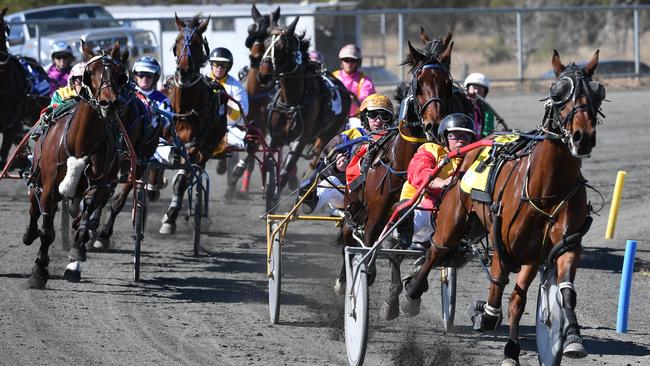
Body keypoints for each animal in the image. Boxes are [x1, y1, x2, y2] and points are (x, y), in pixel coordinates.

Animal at [21, 41, 130, 288]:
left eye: (119, 74)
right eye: (91, 73)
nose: (109, 103)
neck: (80, 142)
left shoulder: (96, 187)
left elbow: (83, 223)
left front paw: (75, 259)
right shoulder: (49, 188)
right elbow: (47, 230)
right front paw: (39, 271)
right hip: (37, 175)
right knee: (33, 205)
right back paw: (29, 233)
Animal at [158, 14, 227, 234]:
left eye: (197, 43)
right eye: (177, 41)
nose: (184, 71)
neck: (185, 111)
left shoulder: (195, 148)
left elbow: (182, 180)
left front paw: (170, 218)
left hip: (208, 148)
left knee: (191, 173)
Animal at [258, 17, 350, 194]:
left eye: (281, 47)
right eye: (264, 44)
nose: (263, 74)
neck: (291, 102)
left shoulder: (300, 140)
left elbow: (284, 171)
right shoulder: (275, 137)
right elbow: (270, 163)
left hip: (328, 134)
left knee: (316, 159)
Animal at [400, 50, 604, 364]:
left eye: (597, 92)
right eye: (557, 92)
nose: (583, 136)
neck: (545, 188)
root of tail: (464, 154)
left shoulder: (557, 247)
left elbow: (552, 294)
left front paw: (570, 338)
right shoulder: (503, 246)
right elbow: (496, 295)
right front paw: (482, 314)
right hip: (451, 220)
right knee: (436, 251)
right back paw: (411, 292)